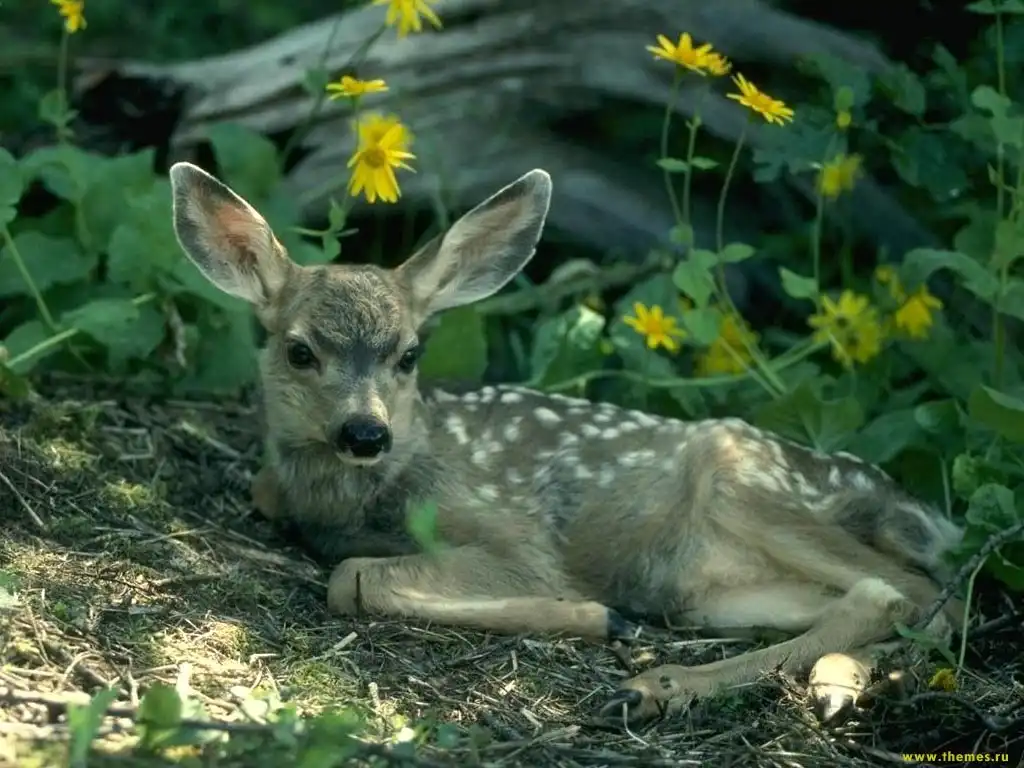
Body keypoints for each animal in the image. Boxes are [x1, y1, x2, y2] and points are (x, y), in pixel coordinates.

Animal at [167, 160, 966, 729]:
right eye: (299, 351)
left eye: (408, 355)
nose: (366, 432)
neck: (359, 499)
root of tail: (919, 513)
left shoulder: (514, 537)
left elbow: (352, 578)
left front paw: (594, 615)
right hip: (710, 594)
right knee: (912, 601)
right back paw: (833, 684)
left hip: (742, 476)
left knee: (901, 589)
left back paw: (654, 685)